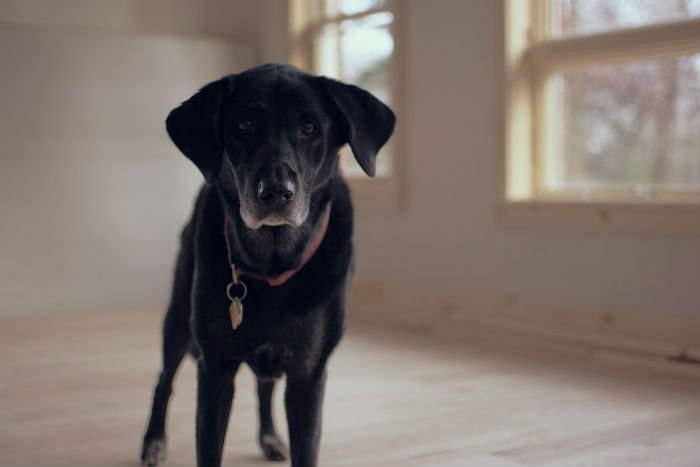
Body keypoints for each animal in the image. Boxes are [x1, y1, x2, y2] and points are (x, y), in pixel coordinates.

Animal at [142, 63, 394, 467]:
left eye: (310, 127)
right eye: (244, 125)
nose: (276, 192)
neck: (272, 264)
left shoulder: (308, 373)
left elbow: (305, 448)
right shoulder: (215, 369)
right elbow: (208, 448)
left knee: (264, 387)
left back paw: (270, 437)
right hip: (178, 318)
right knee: (164, 380)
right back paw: (153, 440)